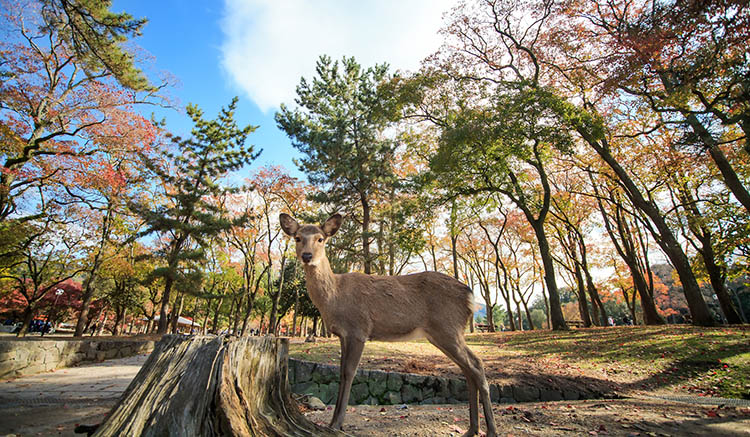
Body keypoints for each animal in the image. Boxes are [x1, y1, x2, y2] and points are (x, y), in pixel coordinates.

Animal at [280, 213, 496, 434]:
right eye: (297, 238)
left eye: (320, 239)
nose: (307, 256)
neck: (334, 297)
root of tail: (470, 296)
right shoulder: (343, 334)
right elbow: (340, 372)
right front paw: (333, 423)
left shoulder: (358, 329)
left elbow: (349, 373)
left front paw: (337, 424)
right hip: (444, 333)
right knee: (469, 369)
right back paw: (472, 429)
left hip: (447, 328)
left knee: (476, 365)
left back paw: (491, 430)